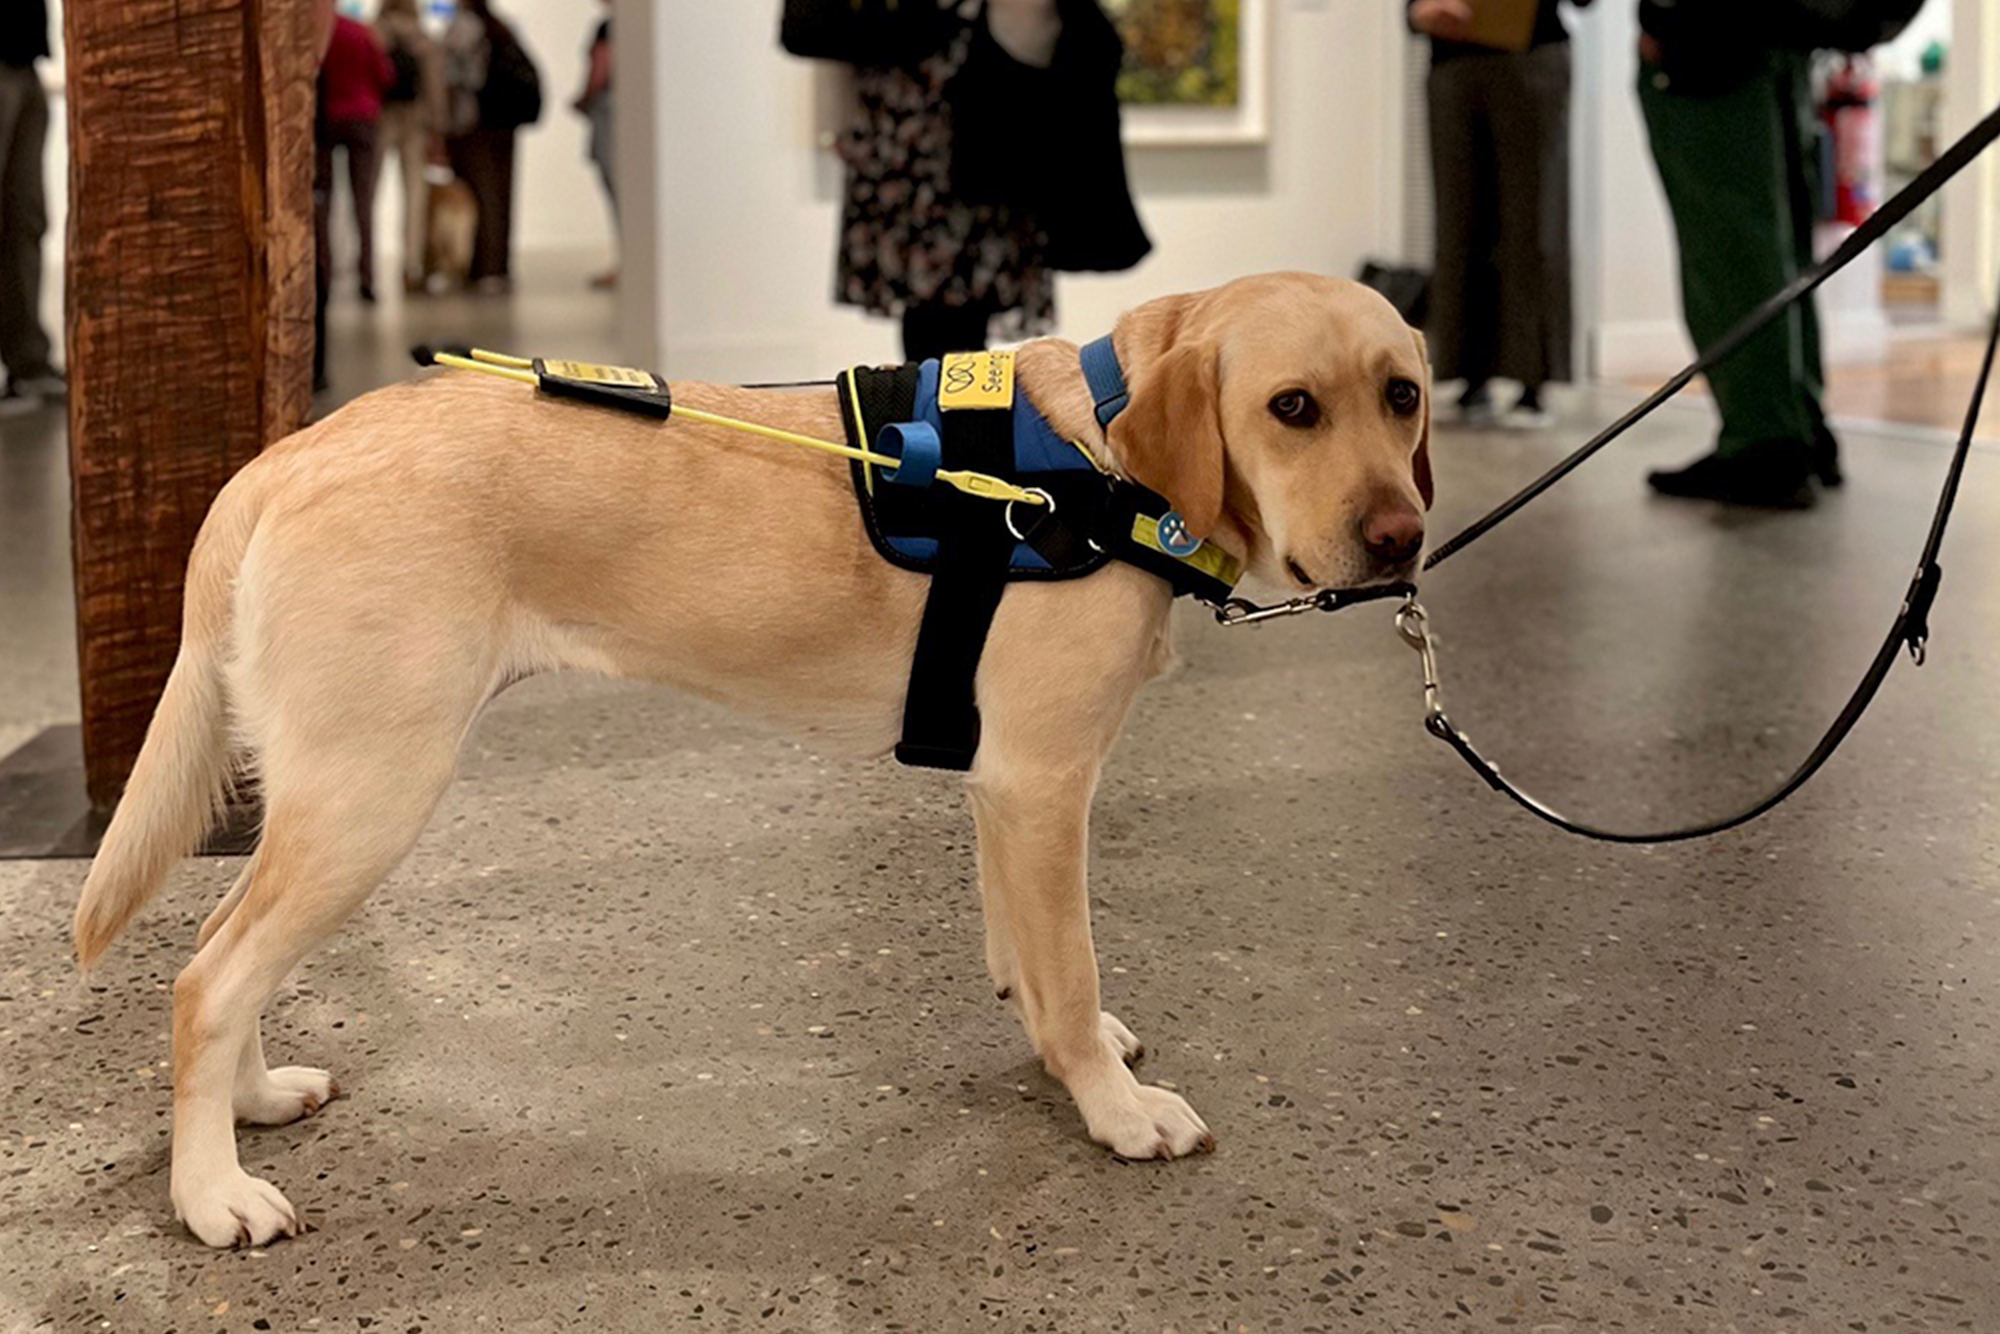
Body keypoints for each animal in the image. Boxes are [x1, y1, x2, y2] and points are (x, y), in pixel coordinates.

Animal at [70, 272, 1432, 1256]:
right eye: (1292, 407)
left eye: (1403, 395)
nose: (1399, 538)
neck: (1099, 465)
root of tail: (281, 458)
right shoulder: (1045, 781)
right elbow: (1068, 958)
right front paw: (1111, 1109)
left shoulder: (1005, 790)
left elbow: (1032, 961)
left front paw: (1069, 1040)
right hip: (371, 795)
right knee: (207, 977)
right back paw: (210, 1191)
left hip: (323, 800)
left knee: (220, 954)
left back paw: (249, 1105)